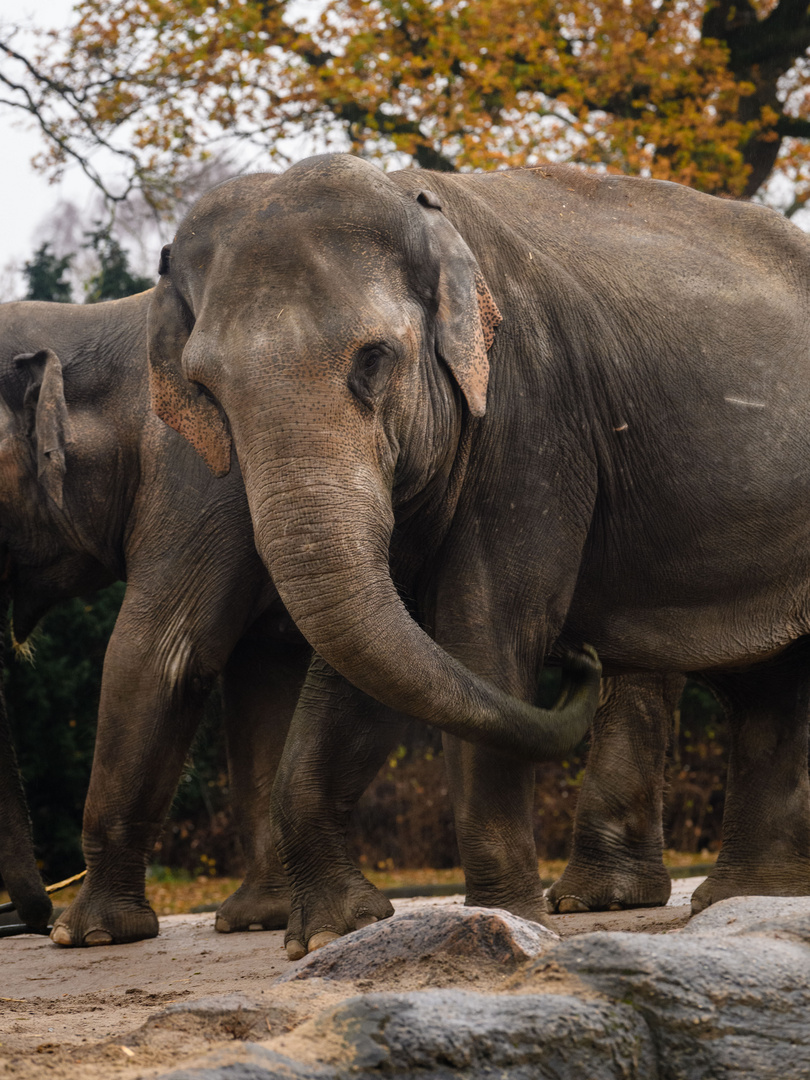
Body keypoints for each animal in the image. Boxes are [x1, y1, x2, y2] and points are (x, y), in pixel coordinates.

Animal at [0, 295, 311, 946]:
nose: (26, 920)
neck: (89, 320)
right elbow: (263, 672)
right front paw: (257, 920)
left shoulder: (206, 475)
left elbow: (157, 659)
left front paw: (86, 935)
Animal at [149, 152, 810, 954]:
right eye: (205, 388)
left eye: (373, 360)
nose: (581, 658)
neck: (421, 202)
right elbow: (376, 660)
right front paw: (333, 933)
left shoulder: (533, 414)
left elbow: (484, 634)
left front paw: (511, 923)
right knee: (765, 679)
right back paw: (746, 897)